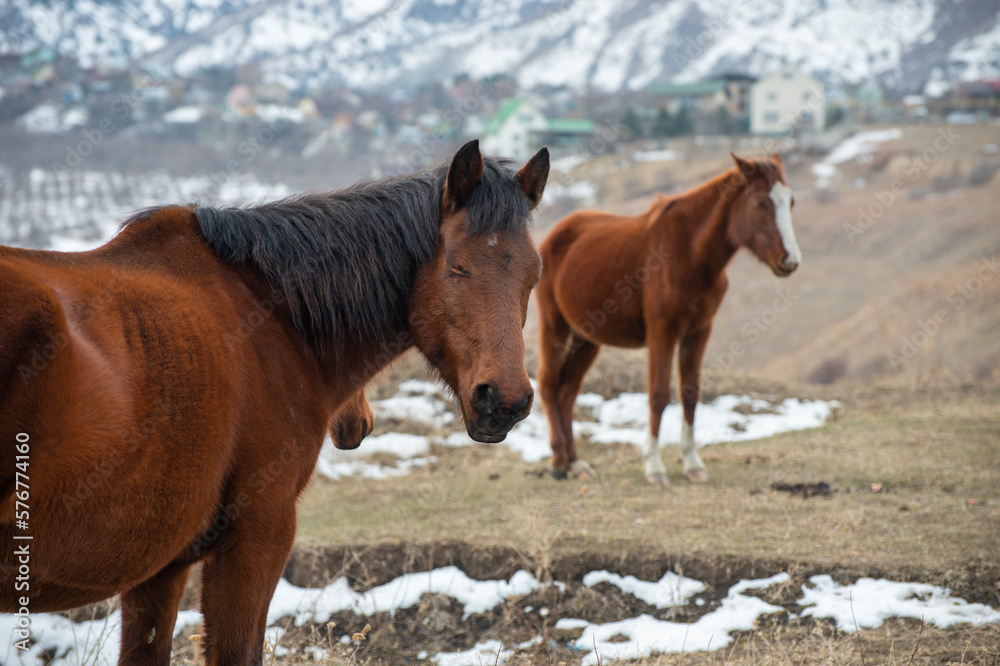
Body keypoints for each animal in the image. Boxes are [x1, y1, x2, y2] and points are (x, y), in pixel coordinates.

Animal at [0, 139, 549, 665]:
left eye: (534, 276)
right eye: (457, 268)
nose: (505, 400)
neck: (272, 316)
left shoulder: (160, 565)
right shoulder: (258, 532)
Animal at [536, 153, 800, 485]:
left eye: (790, 201)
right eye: (760, 202)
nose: (790, 260)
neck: (689, 253)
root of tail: (554, 235)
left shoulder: (698, 332)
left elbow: (690, 393)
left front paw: (693, 464)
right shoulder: (661, 332)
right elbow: (659, 394)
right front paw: (654, 467)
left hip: (587, 338)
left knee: (567, 391)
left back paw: (575, 463)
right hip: (554, 325)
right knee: (548, 384)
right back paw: (558, 462)